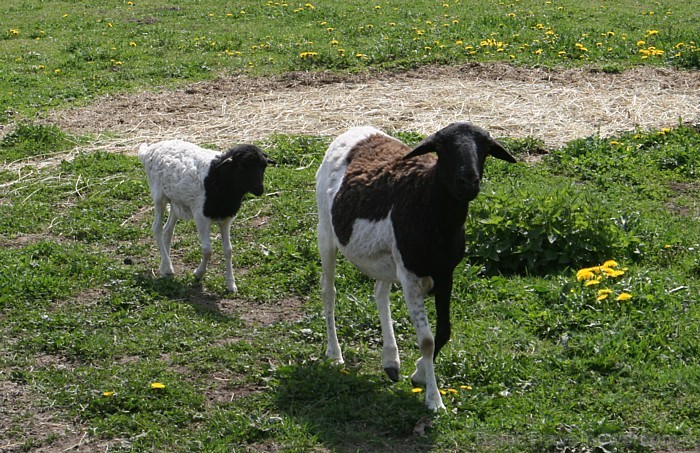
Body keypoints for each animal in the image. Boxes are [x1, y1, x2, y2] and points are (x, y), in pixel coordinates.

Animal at [139, 139, 274, 292]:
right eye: (243, 165)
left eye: (264, 166)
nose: (259, 189)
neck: (219, 179)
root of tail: (149, 150)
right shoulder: (201, 217)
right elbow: (207, 250)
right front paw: (198, 274)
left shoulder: (227, 219)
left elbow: (228, 250)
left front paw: (231, 284)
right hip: (159, 196)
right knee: (157, 228)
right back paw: (167, 266)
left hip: (176, 201)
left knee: (168, 230)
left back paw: (164, 267)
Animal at [314, 122, 516, 410]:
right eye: (441, 147)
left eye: (486, 147)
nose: (469, 182)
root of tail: (355, 130)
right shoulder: (410, 277)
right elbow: (427, 340)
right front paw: (434, 400)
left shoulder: (445, 273)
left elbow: (444, 332)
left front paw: (419, 373)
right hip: (326, 231)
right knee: (328, 292)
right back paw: (335, 354)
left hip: (386, 257)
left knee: (380, 293)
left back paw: (391, 360)